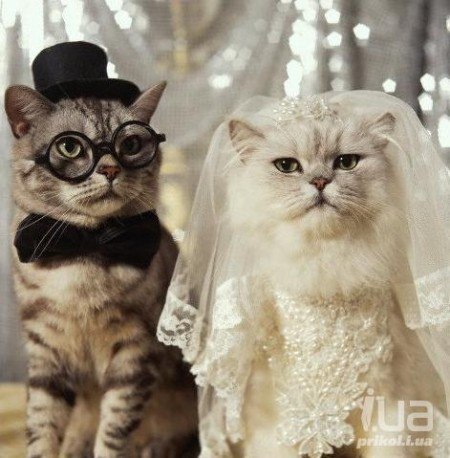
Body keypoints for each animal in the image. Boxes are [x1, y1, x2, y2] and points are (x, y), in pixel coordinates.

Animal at [5, 83, 198, 458]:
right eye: (69, 146)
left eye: (131, 144)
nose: (110, 169)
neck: (85, 248)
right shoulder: (46, 350)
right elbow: (41, 425)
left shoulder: (134, 352)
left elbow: (113, 432)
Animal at [225, 110, 445, 458]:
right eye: (287, 166)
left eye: (346, 162)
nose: (320, 182)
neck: (326, 276)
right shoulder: (276, 426)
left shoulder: (389, 406)